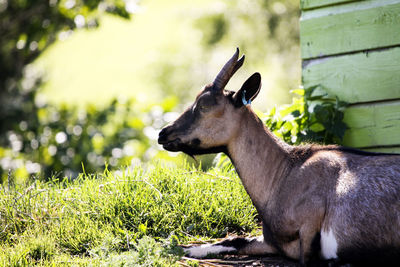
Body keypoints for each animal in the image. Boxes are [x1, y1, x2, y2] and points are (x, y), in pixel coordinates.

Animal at [157, 49, 400, 266]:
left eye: (204, 105)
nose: (163, 134)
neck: (284, 175)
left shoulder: (310, 225)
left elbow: (308, 259)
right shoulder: (272, 241)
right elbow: (234, 240)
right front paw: (178, 247)